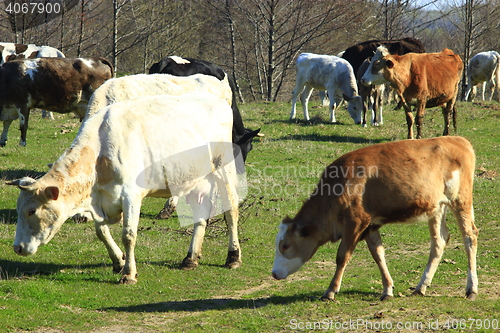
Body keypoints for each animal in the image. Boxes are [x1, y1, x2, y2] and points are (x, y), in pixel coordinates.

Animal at [6, 92, 242, 282]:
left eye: (32, 211)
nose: (17, 247)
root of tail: (216, 99)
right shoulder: (99, 199)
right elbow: (101, 232)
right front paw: (118, 261)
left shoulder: (131, 195)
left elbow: (128, 235)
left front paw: (129, 273)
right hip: (194, 178)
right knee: (200, 216)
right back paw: (190, 258)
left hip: (224, 169)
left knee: (231, 211)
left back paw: (233, 257)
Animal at [272, 136, 478, 300]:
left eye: (285, 246)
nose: (274, 273)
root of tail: (458, 140)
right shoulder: (370, 226)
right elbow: (378, 255)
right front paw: (387, 289)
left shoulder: (355, 222)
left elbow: (342, 256)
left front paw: (330, 291)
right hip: (436, 207)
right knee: (439, 241)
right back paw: (421, 287)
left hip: (460, 200)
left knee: (469, 237)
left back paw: (471, 288)